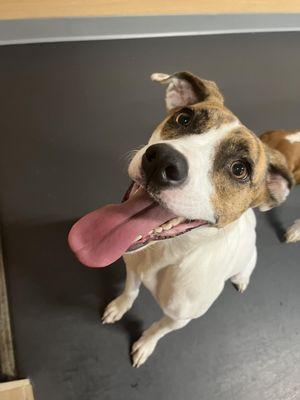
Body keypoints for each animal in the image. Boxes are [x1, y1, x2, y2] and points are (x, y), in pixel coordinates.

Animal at [68, 71, 292, 366]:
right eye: (183, 118)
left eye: (239, 169)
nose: (162, 161)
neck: (165, 254)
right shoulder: (132, 270)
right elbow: (130, 291)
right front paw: (119, 306)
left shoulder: (179, 318)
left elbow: (157, 329)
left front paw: (145, 345)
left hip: (247, 259)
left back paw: (241, 279)